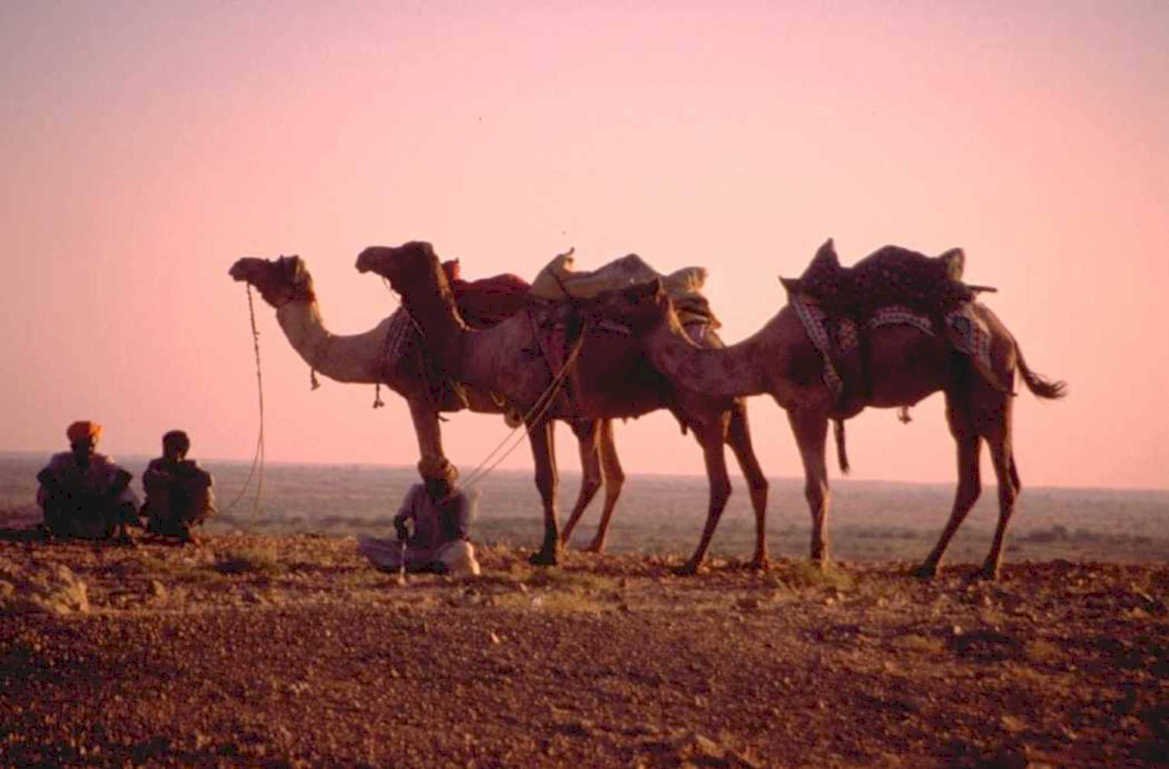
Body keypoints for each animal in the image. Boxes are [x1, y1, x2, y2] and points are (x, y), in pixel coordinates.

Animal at [227, 254, 630, 550]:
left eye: (273, 264)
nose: (239, 266)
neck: (375, 350)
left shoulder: (417, 394)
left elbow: (435, 465)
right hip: (596, 406)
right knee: (614, 474)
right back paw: (592, 545)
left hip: (576, 405)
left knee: (593, 474)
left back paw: (564, 542)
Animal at [355, 242, 770, 572]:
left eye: (401, 252)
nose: (364, 255)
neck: (485, 346)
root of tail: (712, 339)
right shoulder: (552, 412)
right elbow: (556, 478)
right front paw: (553, 547)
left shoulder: (532, 407)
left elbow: (545, 479)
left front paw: (547, 552)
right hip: (734, 412)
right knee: (756, 478)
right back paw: (756, 559)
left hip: (704, 413)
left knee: (721, 485)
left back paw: (693, 562)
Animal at [585, 242, 1066, 580]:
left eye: (631, 295)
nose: (593, 305)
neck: (757, 357)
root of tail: (1007, 335)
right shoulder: (798, 407)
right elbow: (820, 484)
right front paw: (820, 554)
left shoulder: (807, 404)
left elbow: (816, 487)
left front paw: (817, 557)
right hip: (959, 394)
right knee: (969, 476)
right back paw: (929, 565)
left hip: (991, 384)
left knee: (1007, 477)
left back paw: (988, 568)